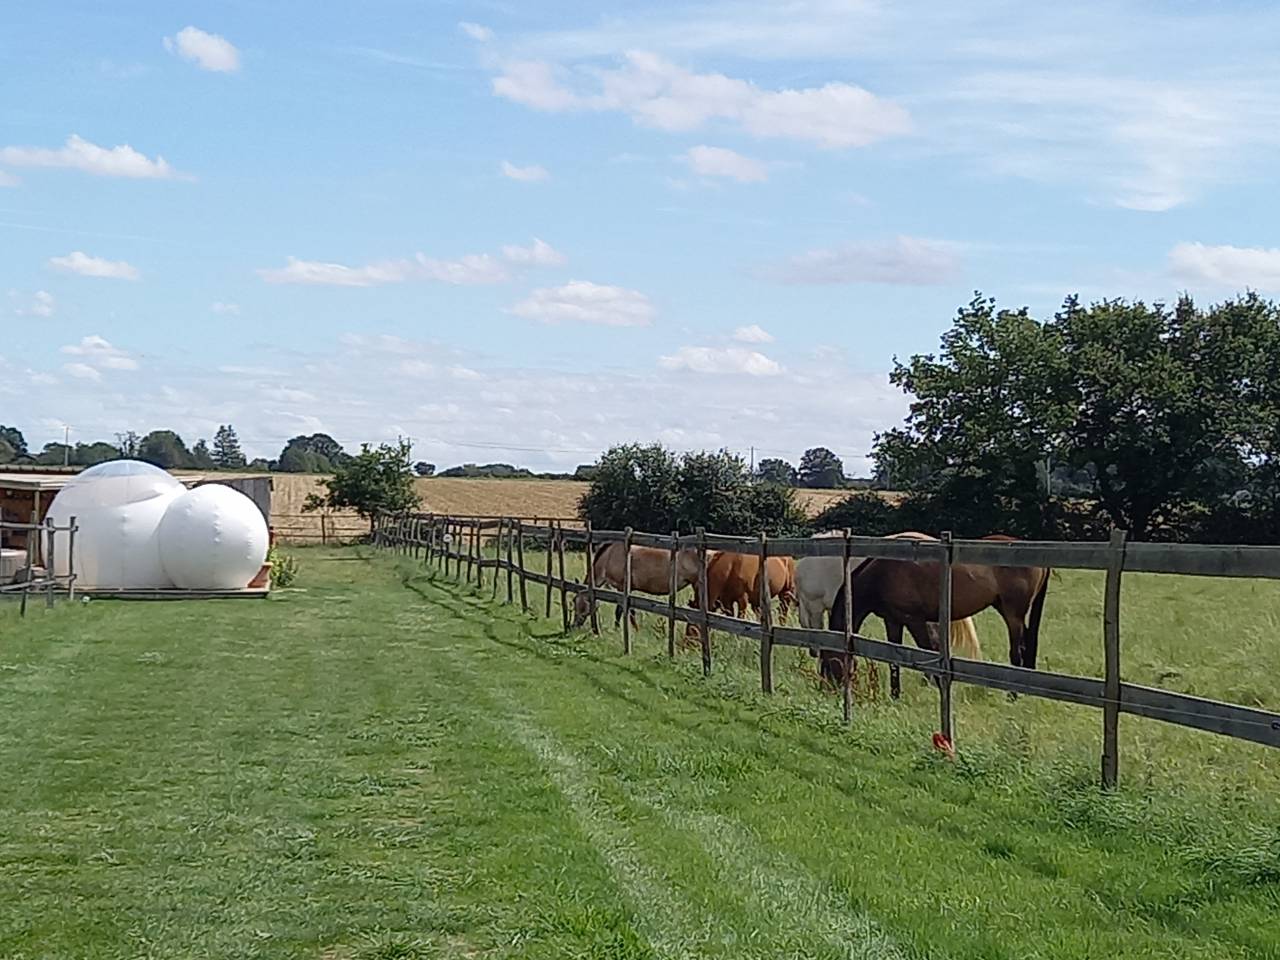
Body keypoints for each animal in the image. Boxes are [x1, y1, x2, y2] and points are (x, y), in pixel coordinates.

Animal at [572, 541, 702, 629]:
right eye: (574, 601)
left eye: (578, 603)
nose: (573, 626)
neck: (610, 556)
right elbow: (630, 611)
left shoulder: (621, 587)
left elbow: (620, 611)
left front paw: (619, 628)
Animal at [825, 534, 1050, 696]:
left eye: (831, 661)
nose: (830, 689)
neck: (882, 573)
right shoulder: (893, 621)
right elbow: (894, 659)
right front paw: (895, 695)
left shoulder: (915, 620)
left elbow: (927, 651)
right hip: (1006, 610)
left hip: (1013, 615)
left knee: (1016, 653)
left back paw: (1012, 696)